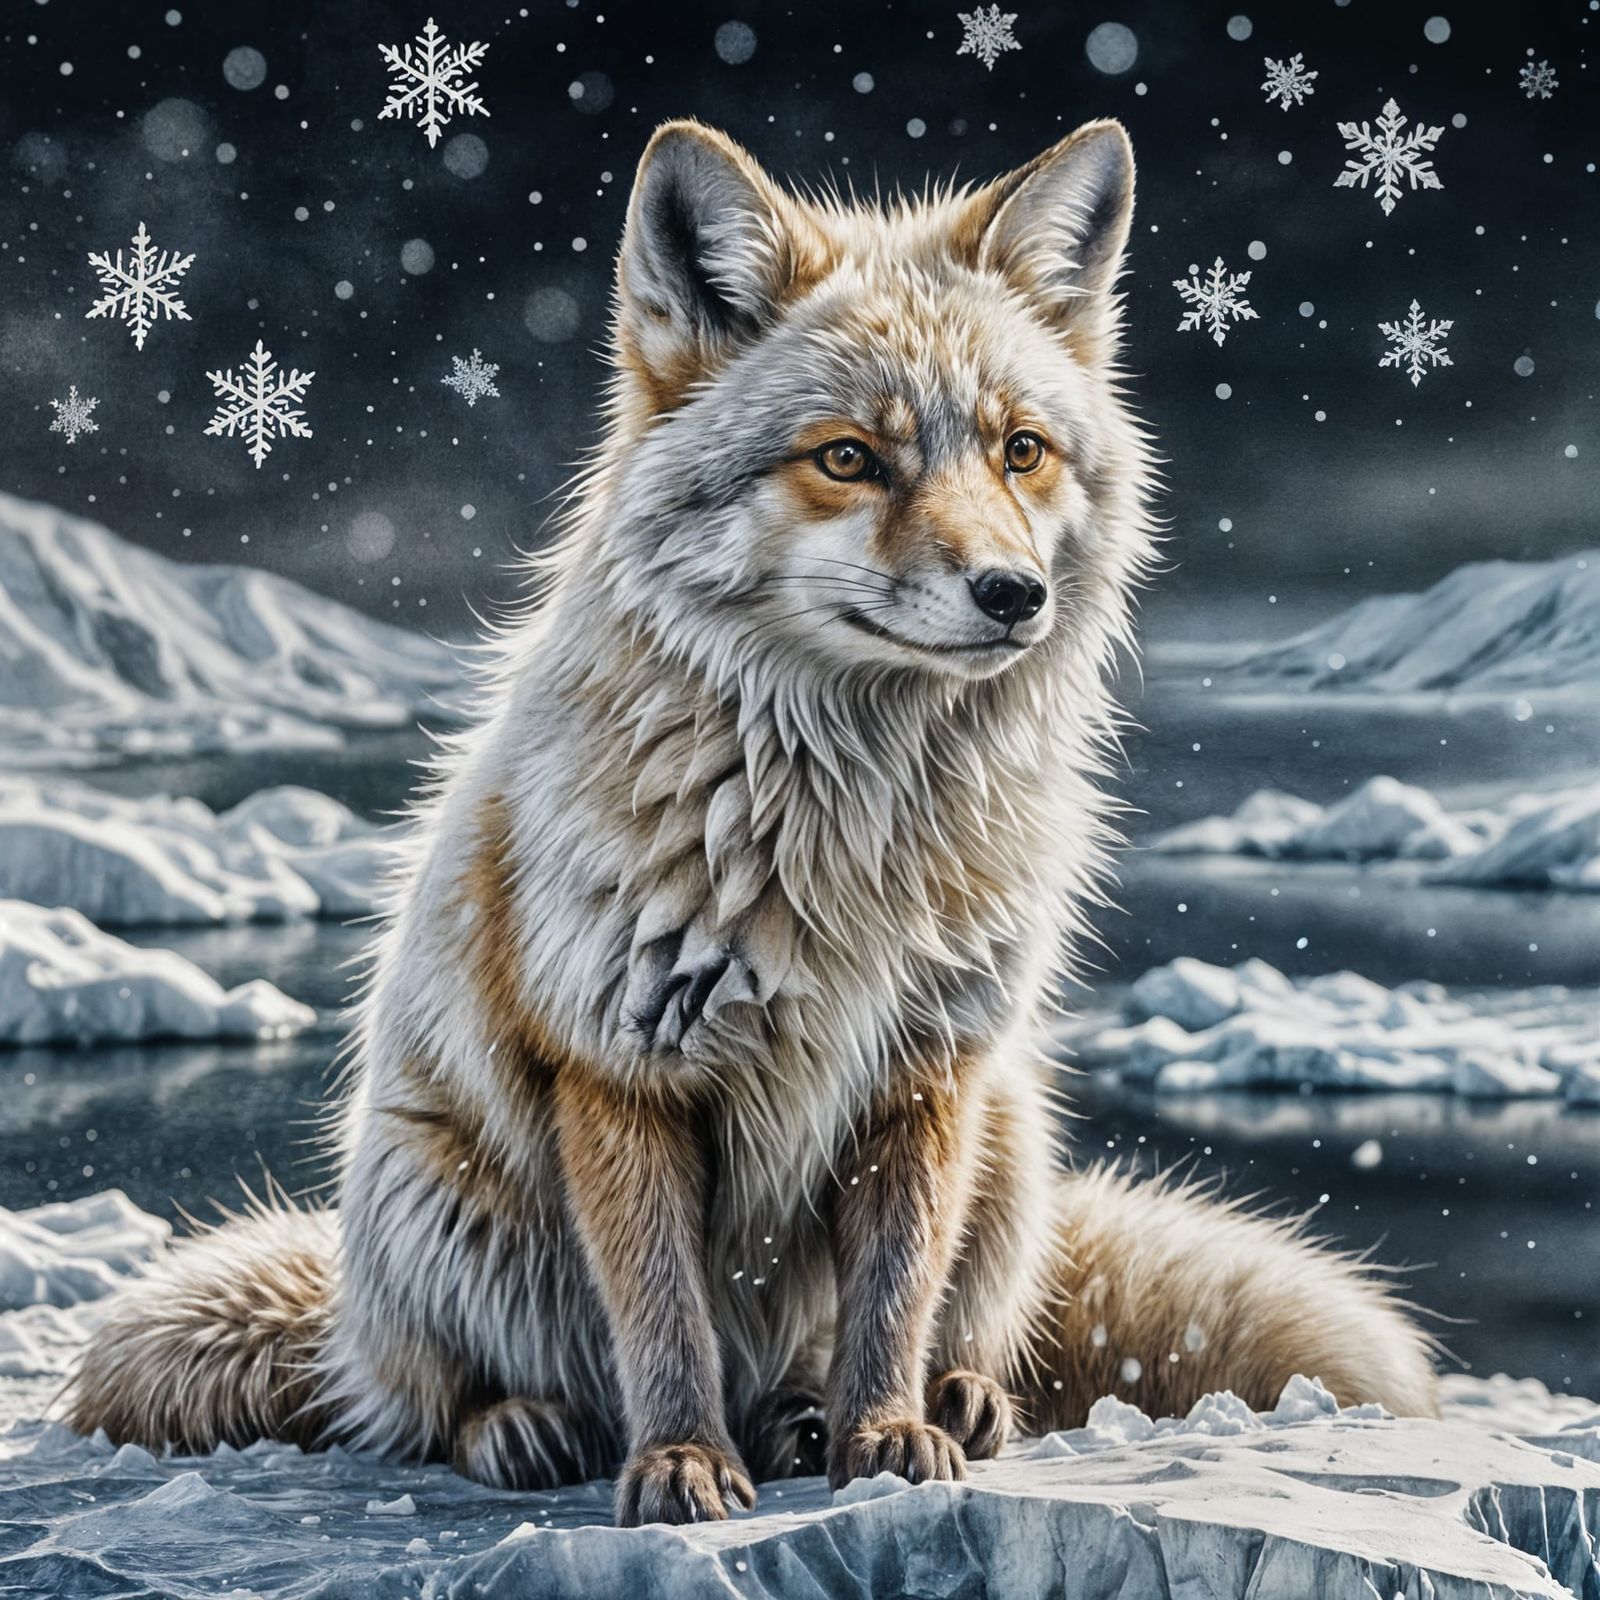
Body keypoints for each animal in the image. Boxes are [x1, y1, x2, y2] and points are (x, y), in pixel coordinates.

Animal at [68, 118, 1437, 1526]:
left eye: (1019, 450)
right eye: (848, 457)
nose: (1013, 593)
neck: (847, 842)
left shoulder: (926, 1065)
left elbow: (892, 1296)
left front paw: (882, 1435)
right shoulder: (619, 1062)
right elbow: (660, 1309)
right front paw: (679, 1462)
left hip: (1011, 1132)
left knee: (930, 1335)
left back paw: (900, 1407)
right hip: (440, 1199)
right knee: (421, 1401)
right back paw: (531, 1427)